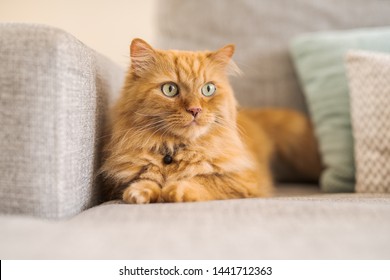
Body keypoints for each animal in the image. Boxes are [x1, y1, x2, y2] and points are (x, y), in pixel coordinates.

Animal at [101, 38, 322, 202]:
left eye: (208, 89)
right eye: (170, 89)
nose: (195, 110)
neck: (177, 150)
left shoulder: (243, 179)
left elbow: (204, 181)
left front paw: (176, 189)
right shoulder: (118, 182)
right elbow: (144, 181)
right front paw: (141, 191)